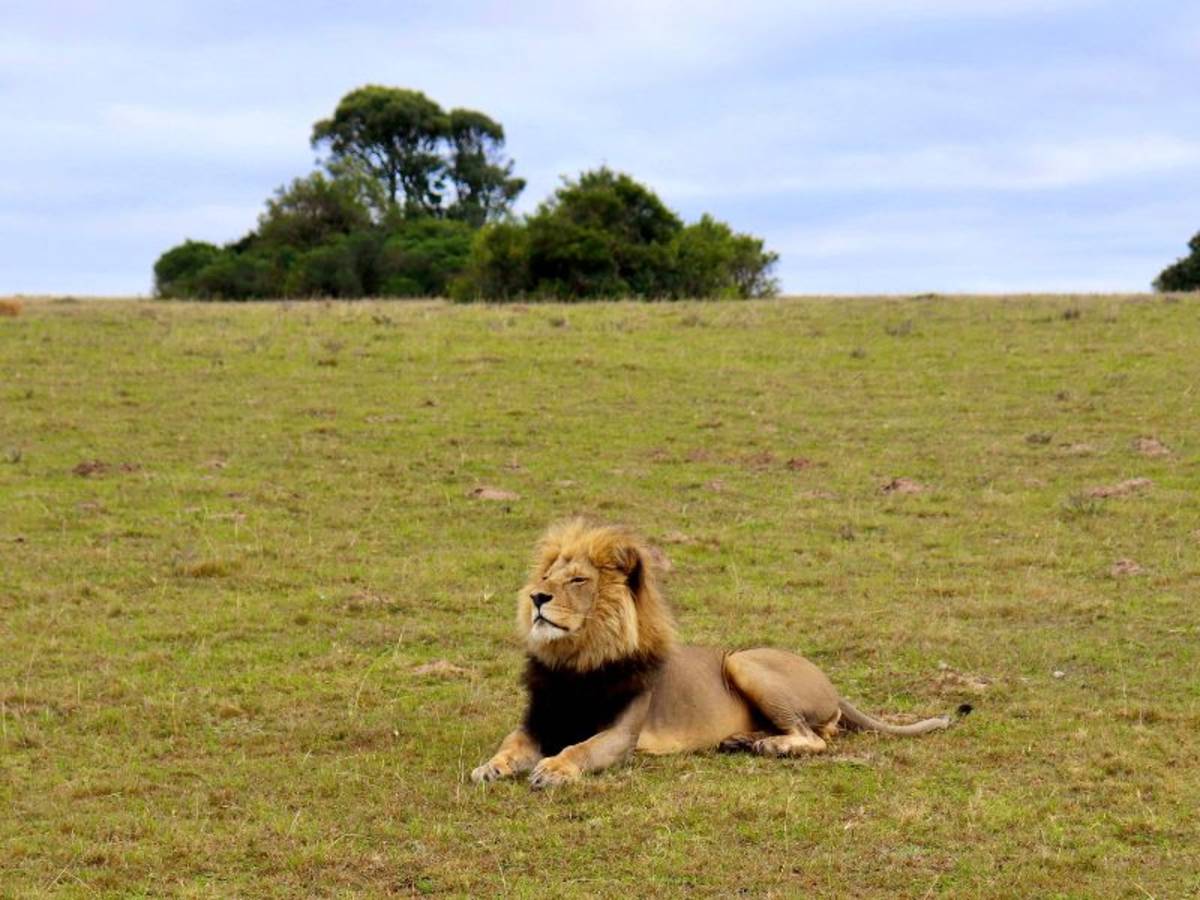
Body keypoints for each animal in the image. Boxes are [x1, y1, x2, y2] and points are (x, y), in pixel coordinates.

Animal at [472, 519, 967, 789]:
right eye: (548, 576)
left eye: (577, 581)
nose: (536, 597)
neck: (576, 660)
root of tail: (831, 683)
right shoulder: (537, 722)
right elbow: (510, 745)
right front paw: (490, 768)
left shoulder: (621, 736)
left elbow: (581, 748)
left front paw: (553, 769)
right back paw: (743, 741)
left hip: (741, 660)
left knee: (815, 738)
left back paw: (769, 745)